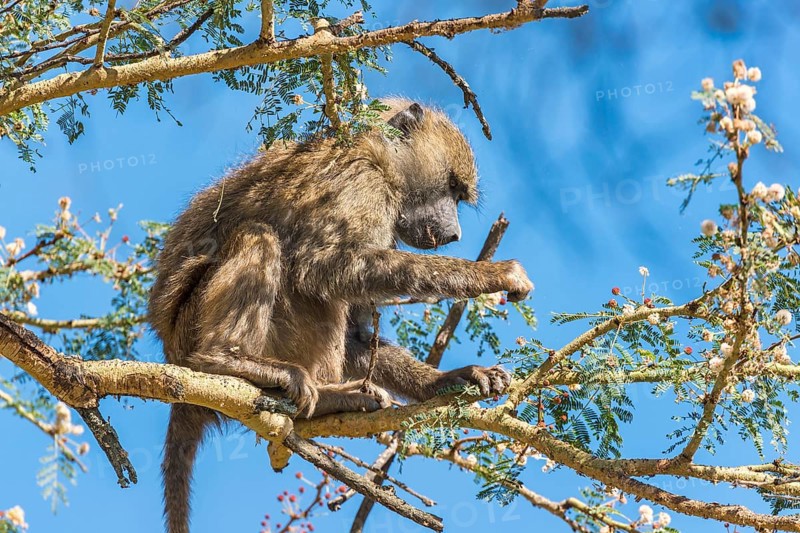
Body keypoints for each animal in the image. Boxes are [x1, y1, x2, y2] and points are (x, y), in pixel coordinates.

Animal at [148, 98, 533, 533]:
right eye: (451, 186)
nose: (454, 235)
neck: (380, 158)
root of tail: (172, 352)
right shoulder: (360, 185)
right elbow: (320, 268)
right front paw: (493, 274)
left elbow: (357, 334)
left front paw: (451, 379)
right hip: (193, 326)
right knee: (260, 236)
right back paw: (227, 361)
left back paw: (330, 400)